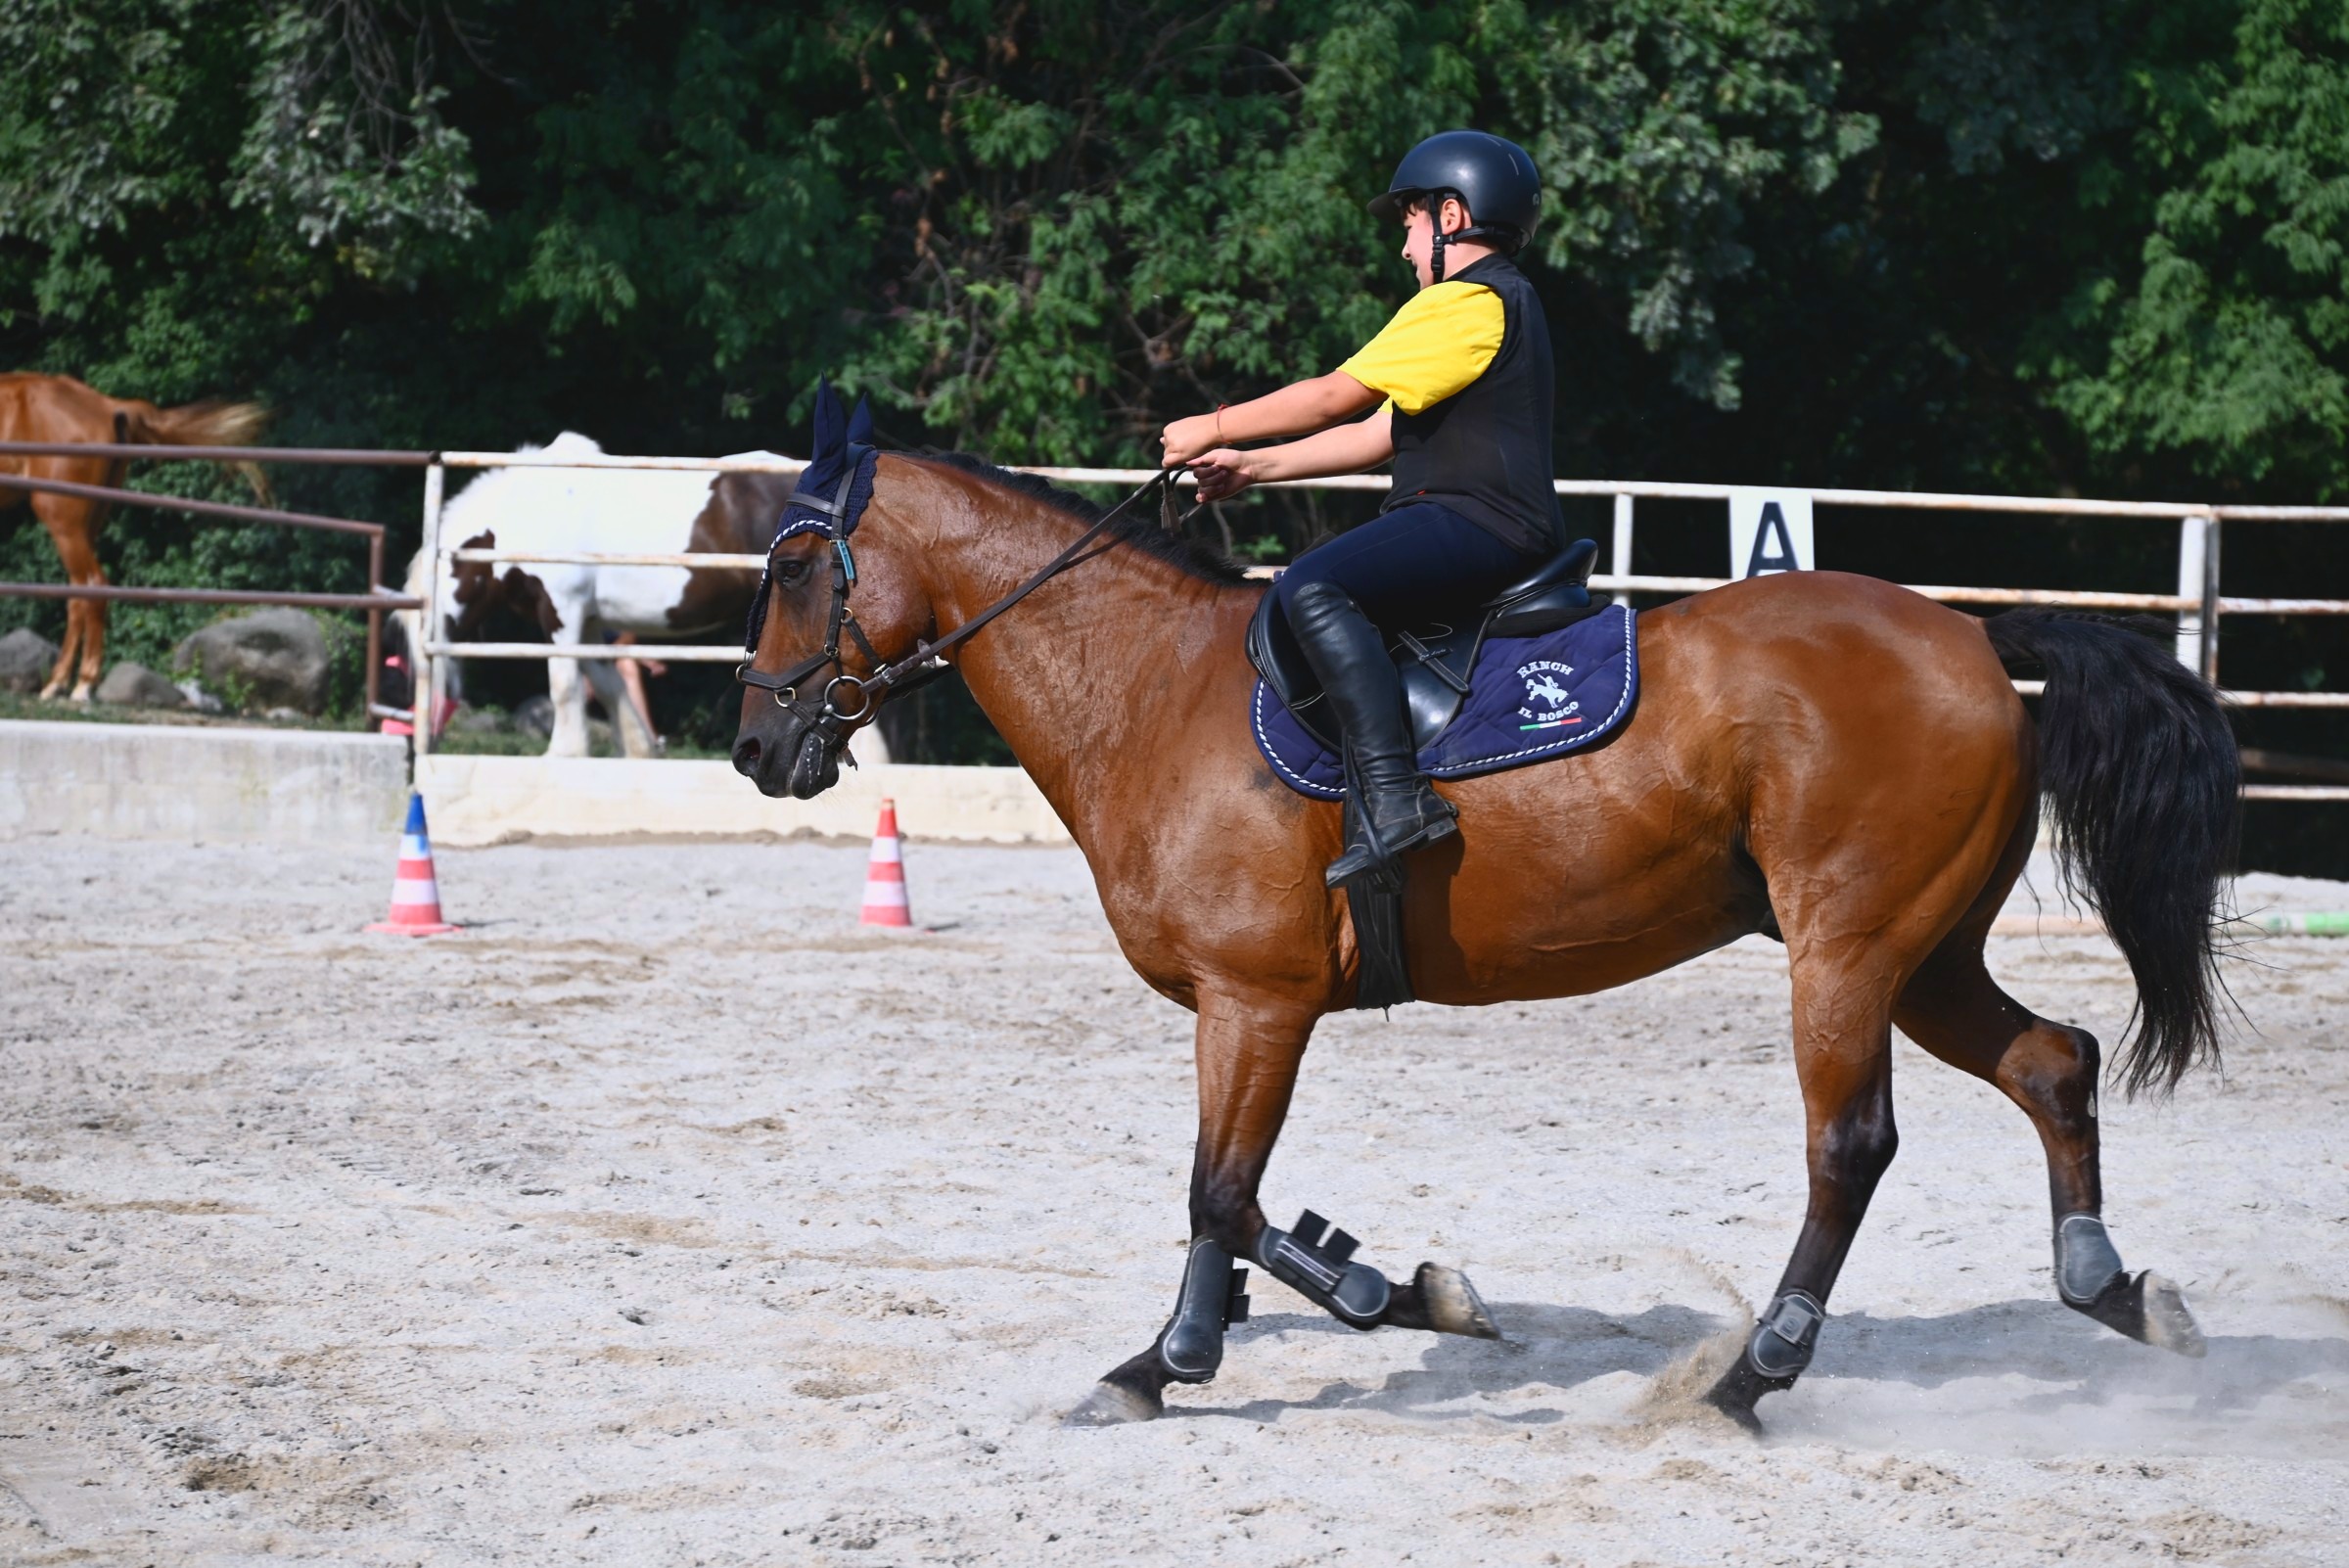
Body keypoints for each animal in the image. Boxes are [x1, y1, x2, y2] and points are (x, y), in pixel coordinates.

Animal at [0, 372, 268, 700]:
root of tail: (106, 405)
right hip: (86, 522)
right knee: (79, 594)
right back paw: (62, 682)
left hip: (62, 519)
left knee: (93, 586)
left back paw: (80, 684)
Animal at [394, 434, 810, 757]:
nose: (418, 743)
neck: (527, 514)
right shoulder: (589, 621)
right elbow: (606, 684)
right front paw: (636, 751)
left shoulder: (561, 610)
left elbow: (563, 684)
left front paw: (563, 753)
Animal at [730, 434, 2238, 1430]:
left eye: (798, 568)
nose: (753, 747)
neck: (1150, 687)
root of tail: (1975, 640)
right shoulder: (1251, 1009)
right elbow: (1248, 1199)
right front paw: (1392, 1291)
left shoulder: (1255, 1000)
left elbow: (1218, 1190)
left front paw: (1171, 1361)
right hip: (1926, 958)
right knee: (2053, 1062)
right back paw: (2115, 1292)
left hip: (1850, 954)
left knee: (1850, 1148)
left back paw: (1752, 1377)